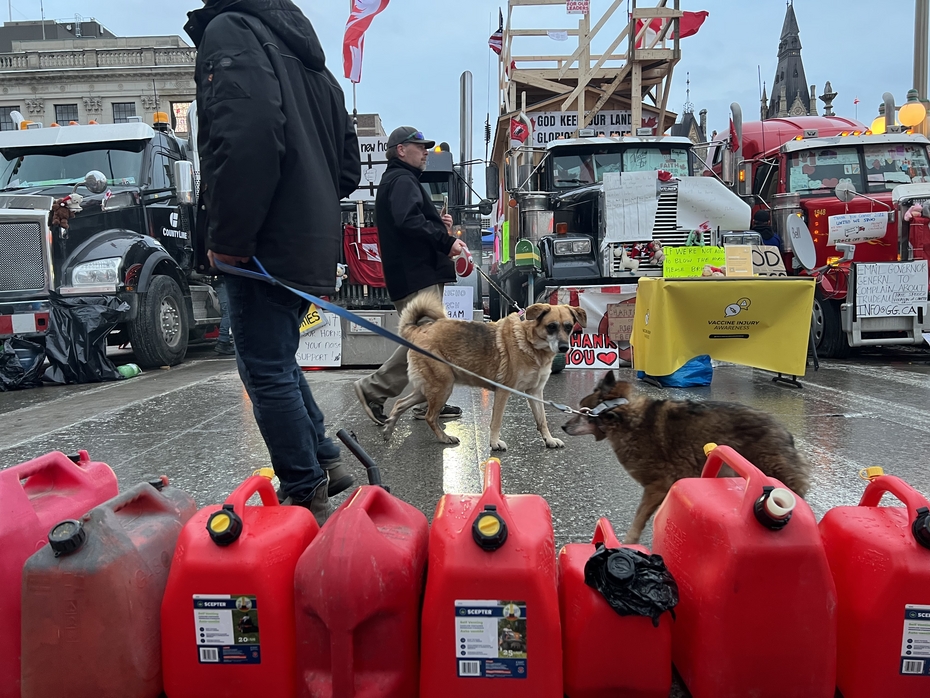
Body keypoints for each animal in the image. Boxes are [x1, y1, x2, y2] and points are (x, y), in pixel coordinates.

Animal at [380, 294, 584, 452]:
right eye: (551, 326)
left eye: (568, 327)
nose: (564, 348)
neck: (530, 342)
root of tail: (418, 330)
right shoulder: (503, 392)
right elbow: (496, 421)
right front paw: (494, 443)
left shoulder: (535, 393)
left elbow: (542, 420)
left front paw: (548, 439)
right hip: (442, 387)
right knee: (430, 417)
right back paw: (444, 438)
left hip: (428, 389)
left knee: (399, 403)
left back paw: (389, 429)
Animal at [560, 370, 812, 544]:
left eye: (583, 413)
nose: (563, 426)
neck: (626, 418)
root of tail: (784, 433)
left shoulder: (657, 487)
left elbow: (638, 520)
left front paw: (628, 543)